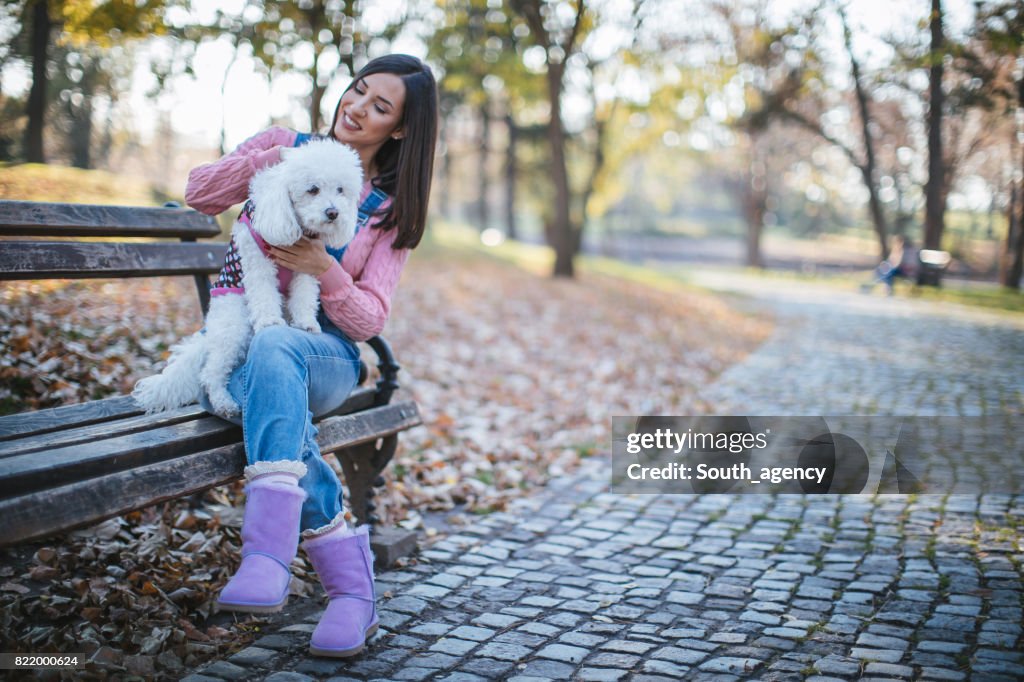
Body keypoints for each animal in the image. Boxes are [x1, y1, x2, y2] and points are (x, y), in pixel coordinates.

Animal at [132, 138, 364, 413]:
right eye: (313, 189)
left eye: (341, 190)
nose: (333, 213)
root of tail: (210, 334)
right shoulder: (258, 262)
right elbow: (264, 293)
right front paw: (270, 321)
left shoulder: (308, 268)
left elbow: (305, 297)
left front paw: (306, 323)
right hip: (234, 324)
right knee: (210, 372)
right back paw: (223, 402)